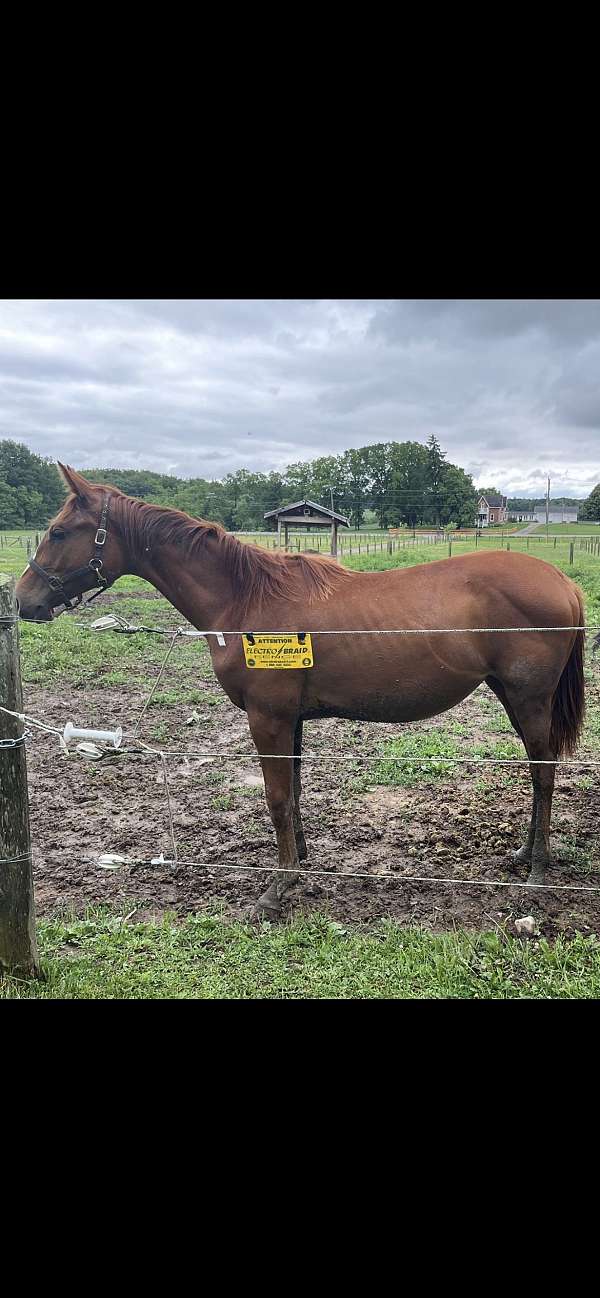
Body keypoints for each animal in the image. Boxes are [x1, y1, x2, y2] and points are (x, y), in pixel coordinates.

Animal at [16, 464, 584, 913]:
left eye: (60, 532)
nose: (23, 600)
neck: (244, 598)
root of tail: (562, 581)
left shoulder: (267, 717)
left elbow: (276, 798)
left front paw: (278, 887)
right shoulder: (289, 721)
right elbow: (293, 793)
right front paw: (301, 862)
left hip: (529, 699)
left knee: (544, 772)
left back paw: (536, 870)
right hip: (509, 695)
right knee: (538, 771)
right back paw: (525, 854)